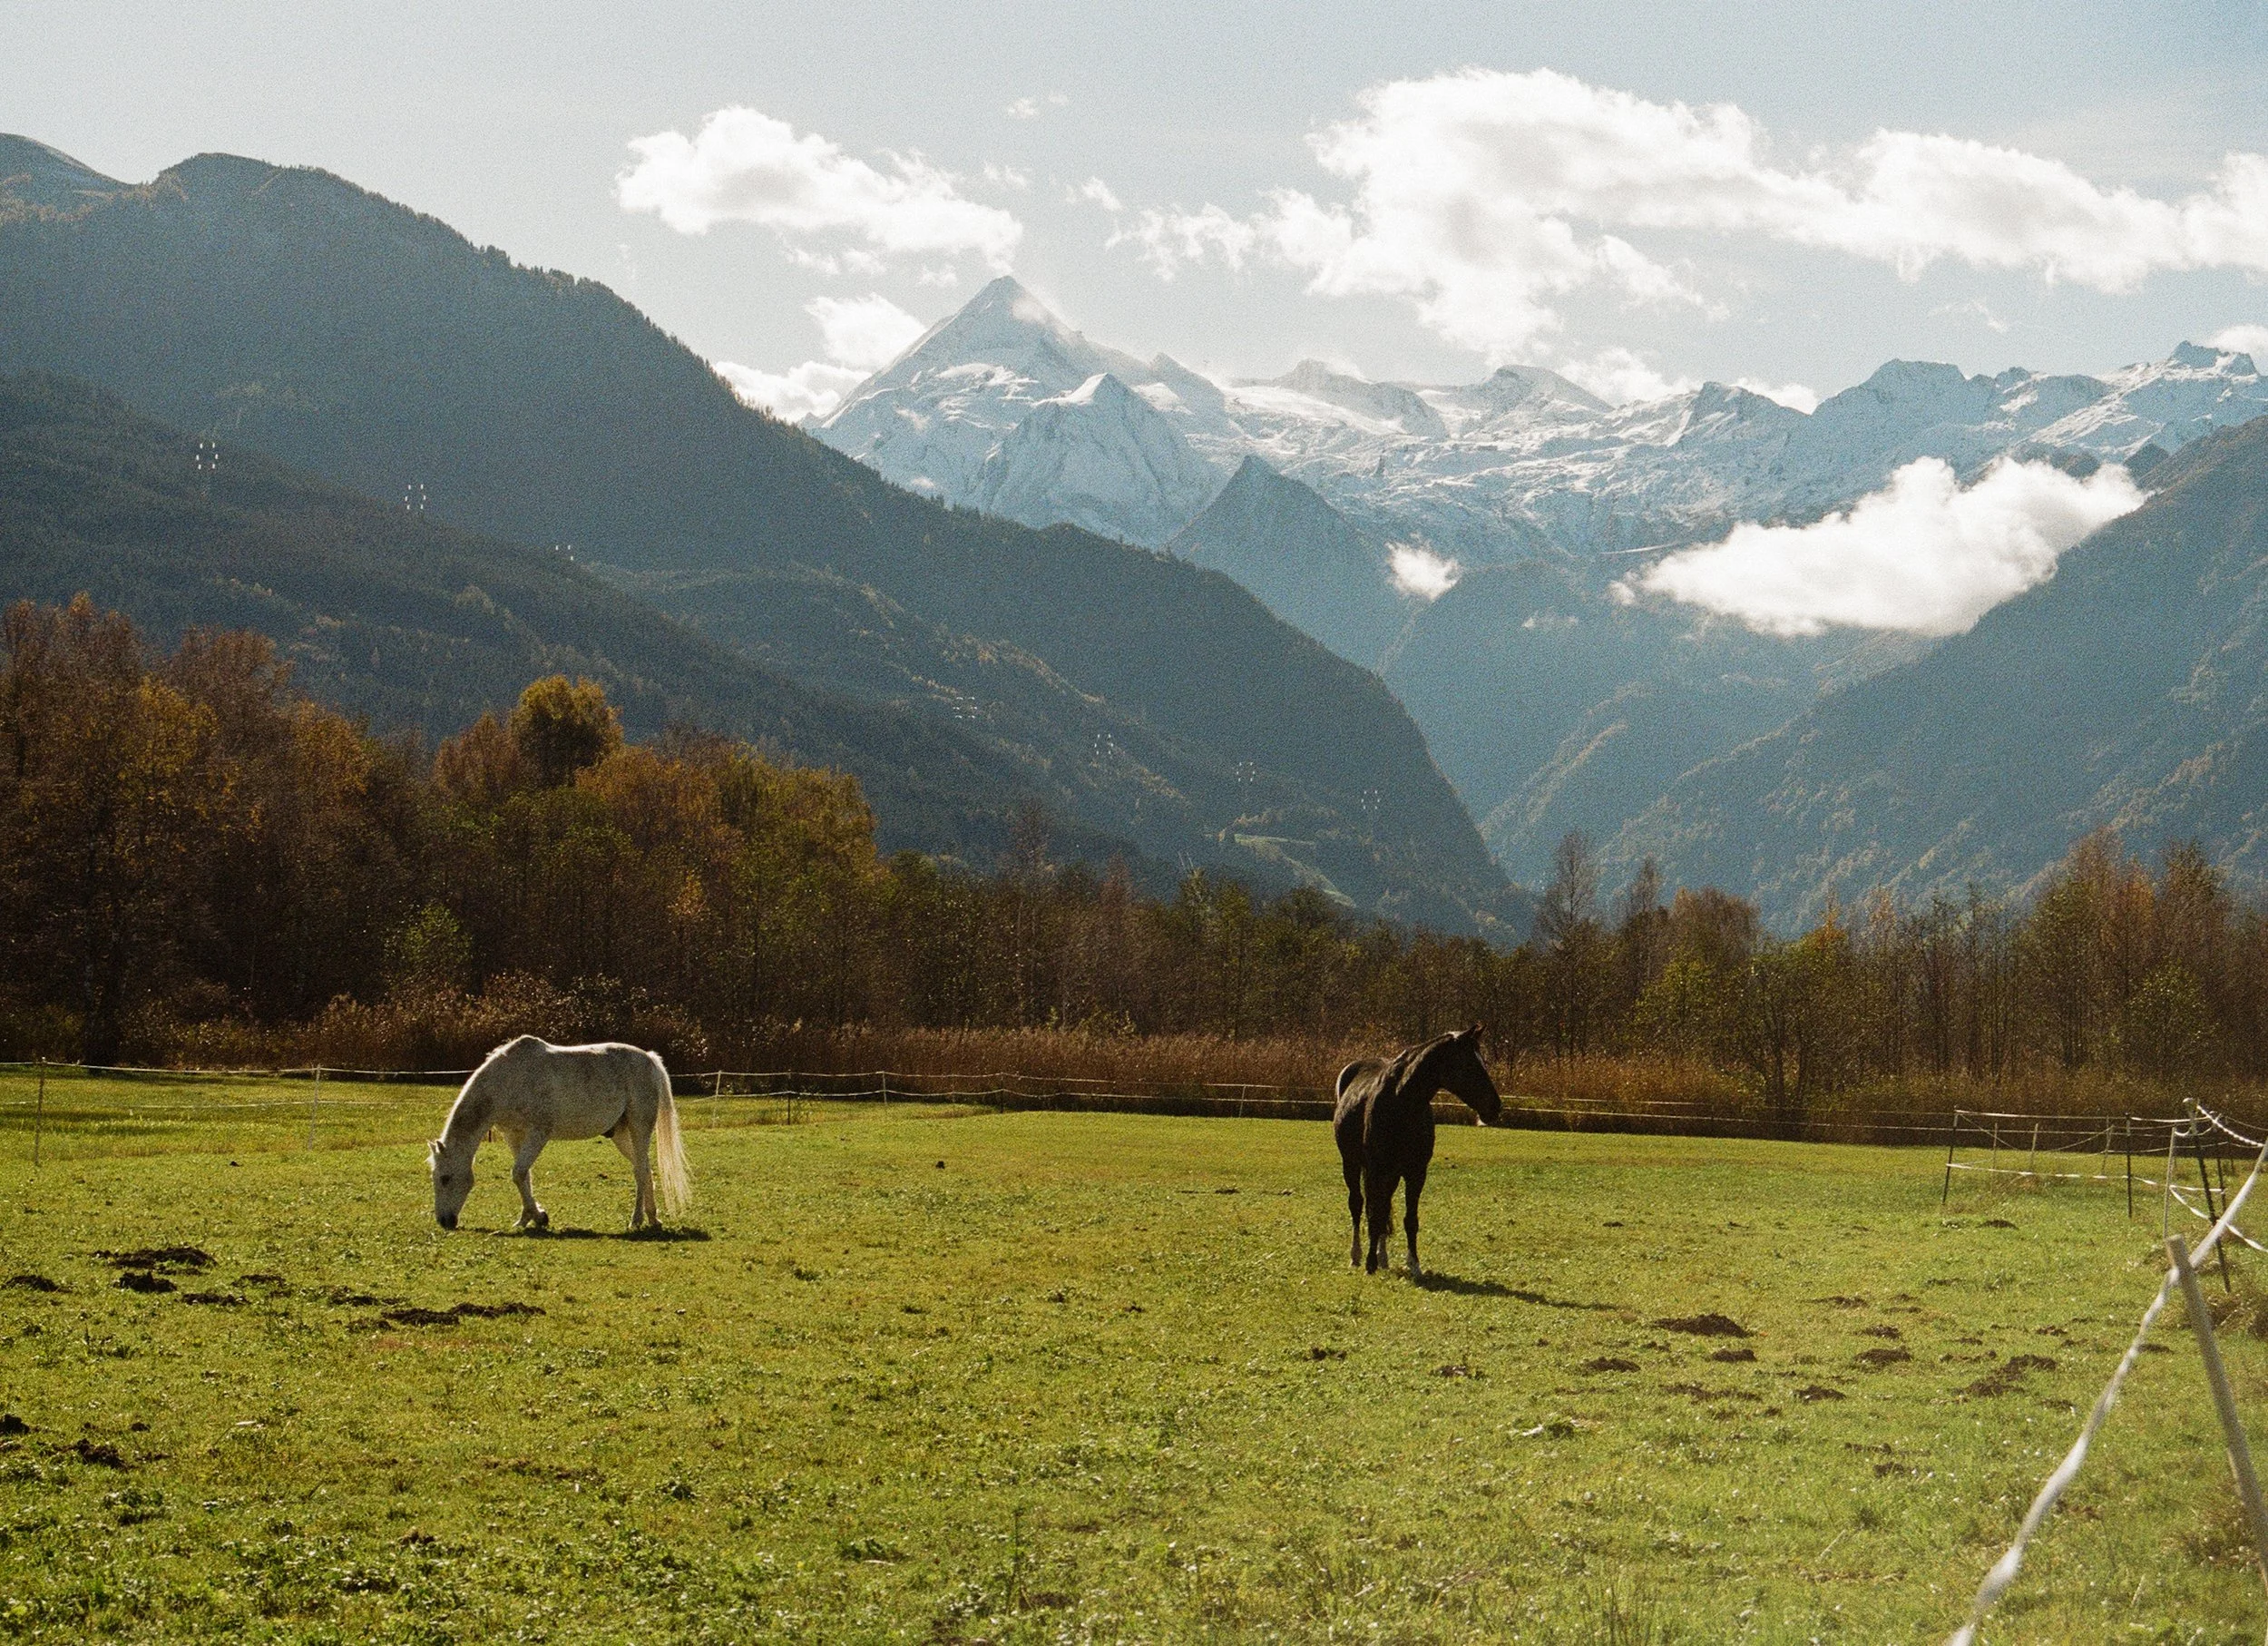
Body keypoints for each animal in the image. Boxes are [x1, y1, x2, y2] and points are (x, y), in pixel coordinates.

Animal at [429, 1036, 691, 1231]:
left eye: (445, 1178)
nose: (444, 1221)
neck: (508, 1080)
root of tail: (649, 1058)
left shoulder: (538, 1134)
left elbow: (518, 1173)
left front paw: (539, 1217)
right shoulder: (514, 1136)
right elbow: (524, 1176)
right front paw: (527, 1219)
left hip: (639, 1128)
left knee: (640, 1171)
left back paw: (635, 1220)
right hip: (621, 1134)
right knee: (644, 1169)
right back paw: (653, 1219)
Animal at [1334, 1026, 1503, 1275]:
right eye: (1469, 1064)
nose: (1495, 1107)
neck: (1400, 1103)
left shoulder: (1416, 1172)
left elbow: (1409, 1219)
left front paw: (1413, 1263)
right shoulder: (1376, 1169)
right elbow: (1374, 1214)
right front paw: (1370, 1264)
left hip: (1391, 1174)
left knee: (1384, 1205)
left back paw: (1382, 1257)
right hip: (1352, 1164)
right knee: (1357, 1204)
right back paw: (1357, 1256)